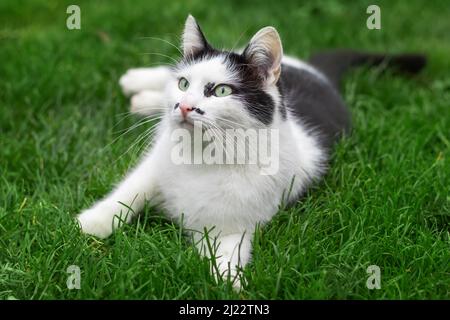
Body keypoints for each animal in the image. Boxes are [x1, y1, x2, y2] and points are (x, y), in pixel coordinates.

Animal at [76, 14, 426, 290]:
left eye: (221, 91)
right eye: (185, 83)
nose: (184, 106)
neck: (205, 155)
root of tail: (320, 77)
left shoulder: (236, 225)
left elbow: (227, 256)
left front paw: (227, 283)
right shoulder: (154, 165)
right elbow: (128, 193)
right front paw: (91, 224)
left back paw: (141, 98)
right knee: (164, 75)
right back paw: (137, 83)